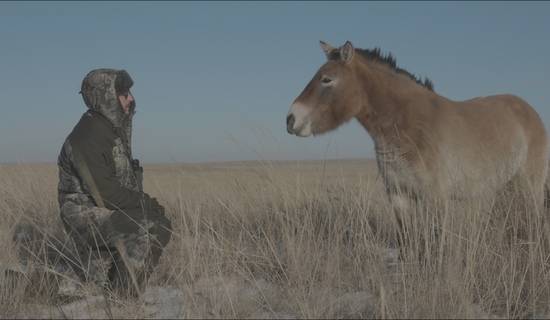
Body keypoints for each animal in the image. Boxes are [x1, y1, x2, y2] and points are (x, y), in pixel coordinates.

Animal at [288, 39, 550, 250]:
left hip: (530, 186)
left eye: (326, 79)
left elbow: (435, 244)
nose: (290, 119)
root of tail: (528, 110)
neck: (407, 123)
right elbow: (405, 242)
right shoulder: (398, 194)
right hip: (509, 186)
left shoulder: (433, 198)